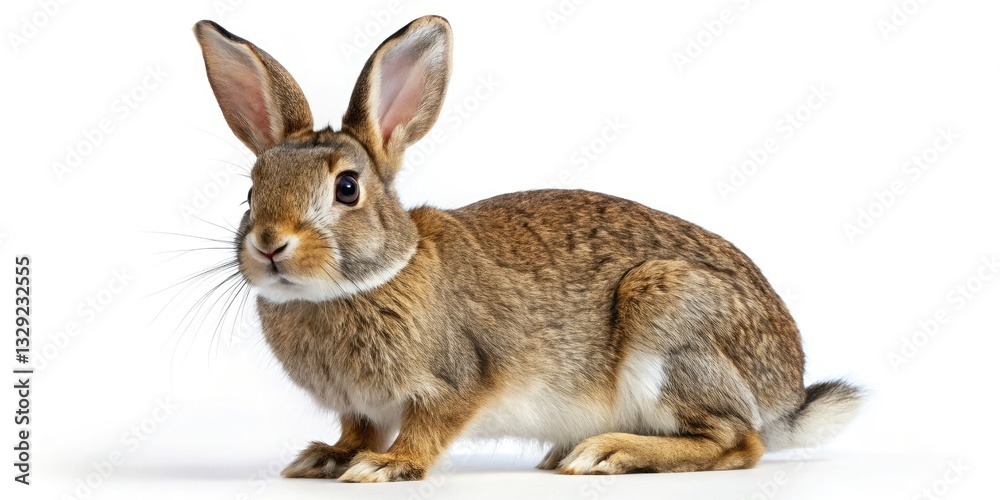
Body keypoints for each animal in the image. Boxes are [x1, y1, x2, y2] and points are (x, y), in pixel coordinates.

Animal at [193, 15, 862, 483]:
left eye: (347, 189)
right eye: (250, 191)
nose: (270, 244)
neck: (371, 277)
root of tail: (785, 393)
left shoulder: (457, 379)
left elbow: (427, 428)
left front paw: (386, 466)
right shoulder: (360, 407)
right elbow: (357, 431)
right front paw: (327, 459)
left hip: (671, 317)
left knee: (739, 442)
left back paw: (607, 453)